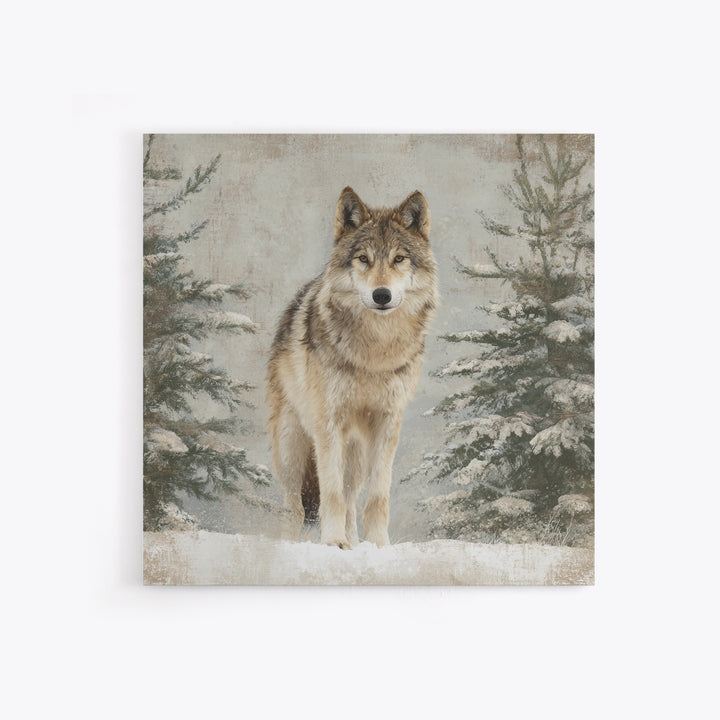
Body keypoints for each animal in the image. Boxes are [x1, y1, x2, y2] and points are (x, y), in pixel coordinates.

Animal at [266, 187, 438, 548]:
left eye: (399, 259)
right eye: (363, 259)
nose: (381, 294)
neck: (374, 351)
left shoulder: (387, 425)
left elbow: (376, 497)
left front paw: (378, 545)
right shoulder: (328, 424)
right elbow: (330, 495)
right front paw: (332, 543)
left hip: (356, 454)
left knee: (349, 500)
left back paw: (356, 543)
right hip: (292, 447)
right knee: (295, 507)